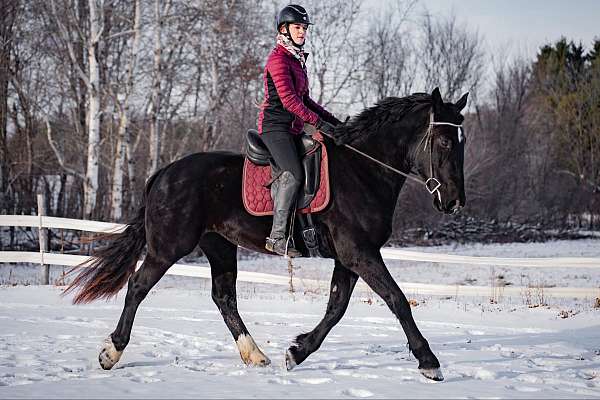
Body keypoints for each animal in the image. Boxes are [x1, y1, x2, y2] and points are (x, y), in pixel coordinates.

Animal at [65, 86, 468, 382]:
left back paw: (255, 355)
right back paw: (111, 352)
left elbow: (336, 308)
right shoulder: (359, 252)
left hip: (219, 246)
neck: (362, 170)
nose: (454, 202)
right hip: (169, 247)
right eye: (446, 142)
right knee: (138, 286)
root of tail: (163, 173)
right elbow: (397, 299)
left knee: (224, 298)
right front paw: (429, 362)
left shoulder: (349, 257)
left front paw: (296, 352)